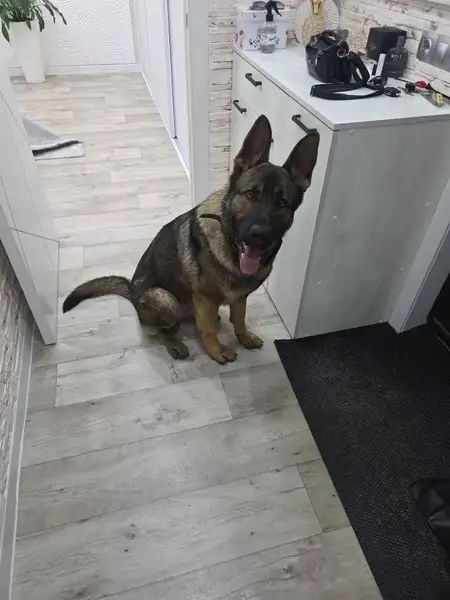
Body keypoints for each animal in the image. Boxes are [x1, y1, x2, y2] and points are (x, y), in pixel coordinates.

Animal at [63, 115, 319, 364]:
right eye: (250, 194)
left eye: (282, 203)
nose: (260, 236)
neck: (230, 246)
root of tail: (133, 293)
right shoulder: (204, 299)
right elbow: (208, 331)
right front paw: (217, 352)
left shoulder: (240, 298)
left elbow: (239, 318)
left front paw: (244, 337)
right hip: (166, 300)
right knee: (158, 331)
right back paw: (174, 344)